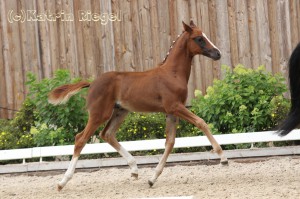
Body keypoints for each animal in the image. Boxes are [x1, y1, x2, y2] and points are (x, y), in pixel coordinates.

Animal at [49, 20, 227, 191]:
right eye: (199, 38)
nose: (217, 53)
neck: (172, 73)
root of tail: (92, 83)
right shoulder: (175, 107)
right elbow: (201, 122)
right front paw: (223, 158)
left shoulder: (171, 112)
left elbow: (170, 142)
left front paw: (152, 179)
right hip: (99, 114)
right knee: (81, 139)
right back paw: (62, 182)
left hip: (120, 112)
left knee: (107, 134)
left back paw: (134, 170)